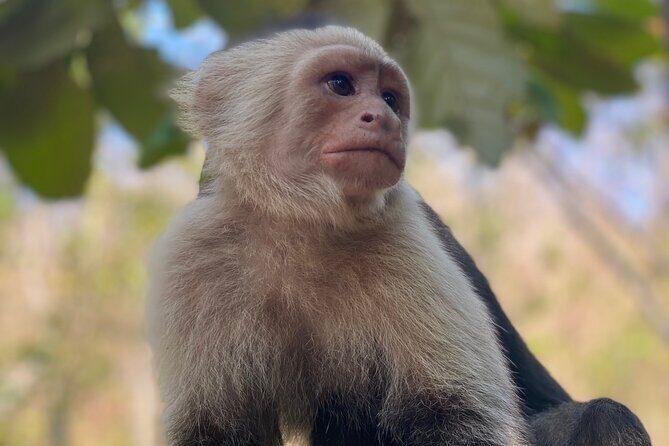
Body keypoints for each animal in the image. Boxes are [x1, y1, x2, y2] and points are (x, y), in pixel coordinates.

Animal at [147, 26, 651, 446]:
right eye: (341, 85)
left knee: (604, 416)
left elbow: (456, 416)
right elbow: (215, 429)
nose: (385, 119)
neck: (301, 224)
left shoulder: (404, 231)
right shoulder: (193, 253)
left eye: (390, 98)